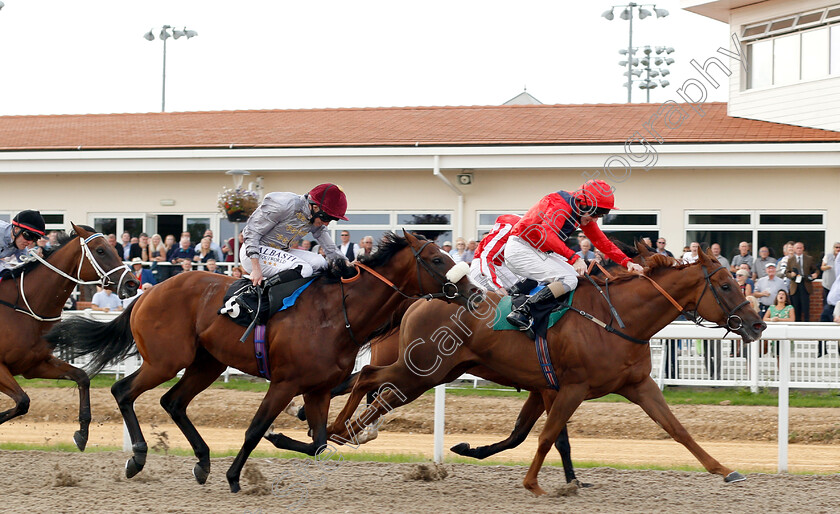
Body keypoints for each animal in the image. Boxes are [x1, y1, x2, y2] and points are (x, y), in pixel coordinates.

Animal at [0, 224, 137, 448]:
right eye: (101, 250)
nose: (132, 283)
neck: (23, 307)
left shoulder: (34, 365)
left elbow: (82, 377)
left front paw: (82, 434)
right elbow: (22, 401)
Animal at [47, 230, 480, 490]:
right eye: (436, 260)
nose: (474, 292)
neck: (338, 314)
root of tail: (148, 290)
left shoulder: (318, 388)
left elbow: (319, 443)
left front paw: (281, 439)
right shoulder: (285, 383)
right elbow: (255, 429)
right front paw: (237, 475)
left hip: (207, 363)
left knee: (173, 402)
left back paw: (202, 461)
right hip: (166, 360)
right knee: (124, 390)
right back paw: (136, 457)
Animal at [328, 246, 768, 494]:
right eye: (725, 286)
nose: (758, 324)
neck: (618, 320)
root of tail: (422, 298)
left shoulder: (636, 385)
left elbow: (677, 430)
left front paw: (725, 470)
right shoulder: (570, 388)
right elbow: (546, 436)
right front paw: (535, 484)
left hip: (434, 373)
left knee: (375, 390)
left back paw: (345, 431)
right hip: (422, 371)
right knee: (369, 379)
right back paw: (339, 431)